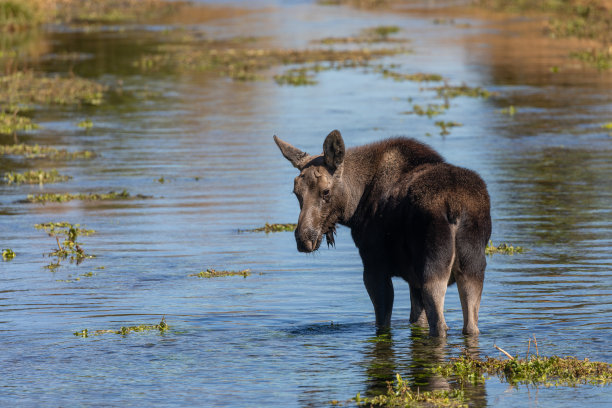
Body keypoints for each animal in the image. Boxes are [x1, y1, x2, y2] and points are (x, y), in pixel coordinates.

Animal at [274, 129, 492, 336]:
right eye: (296, 192)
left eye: (325, 192)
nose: (304, 239)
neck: (355, 207)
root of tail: (455, 206)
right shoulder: (414, 280)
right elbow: (416, 320)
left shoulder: (375, 268)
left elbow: (383, 323)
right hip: (473, 268)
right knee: (471, 326)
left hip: (433, 267)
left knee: (439, 325)